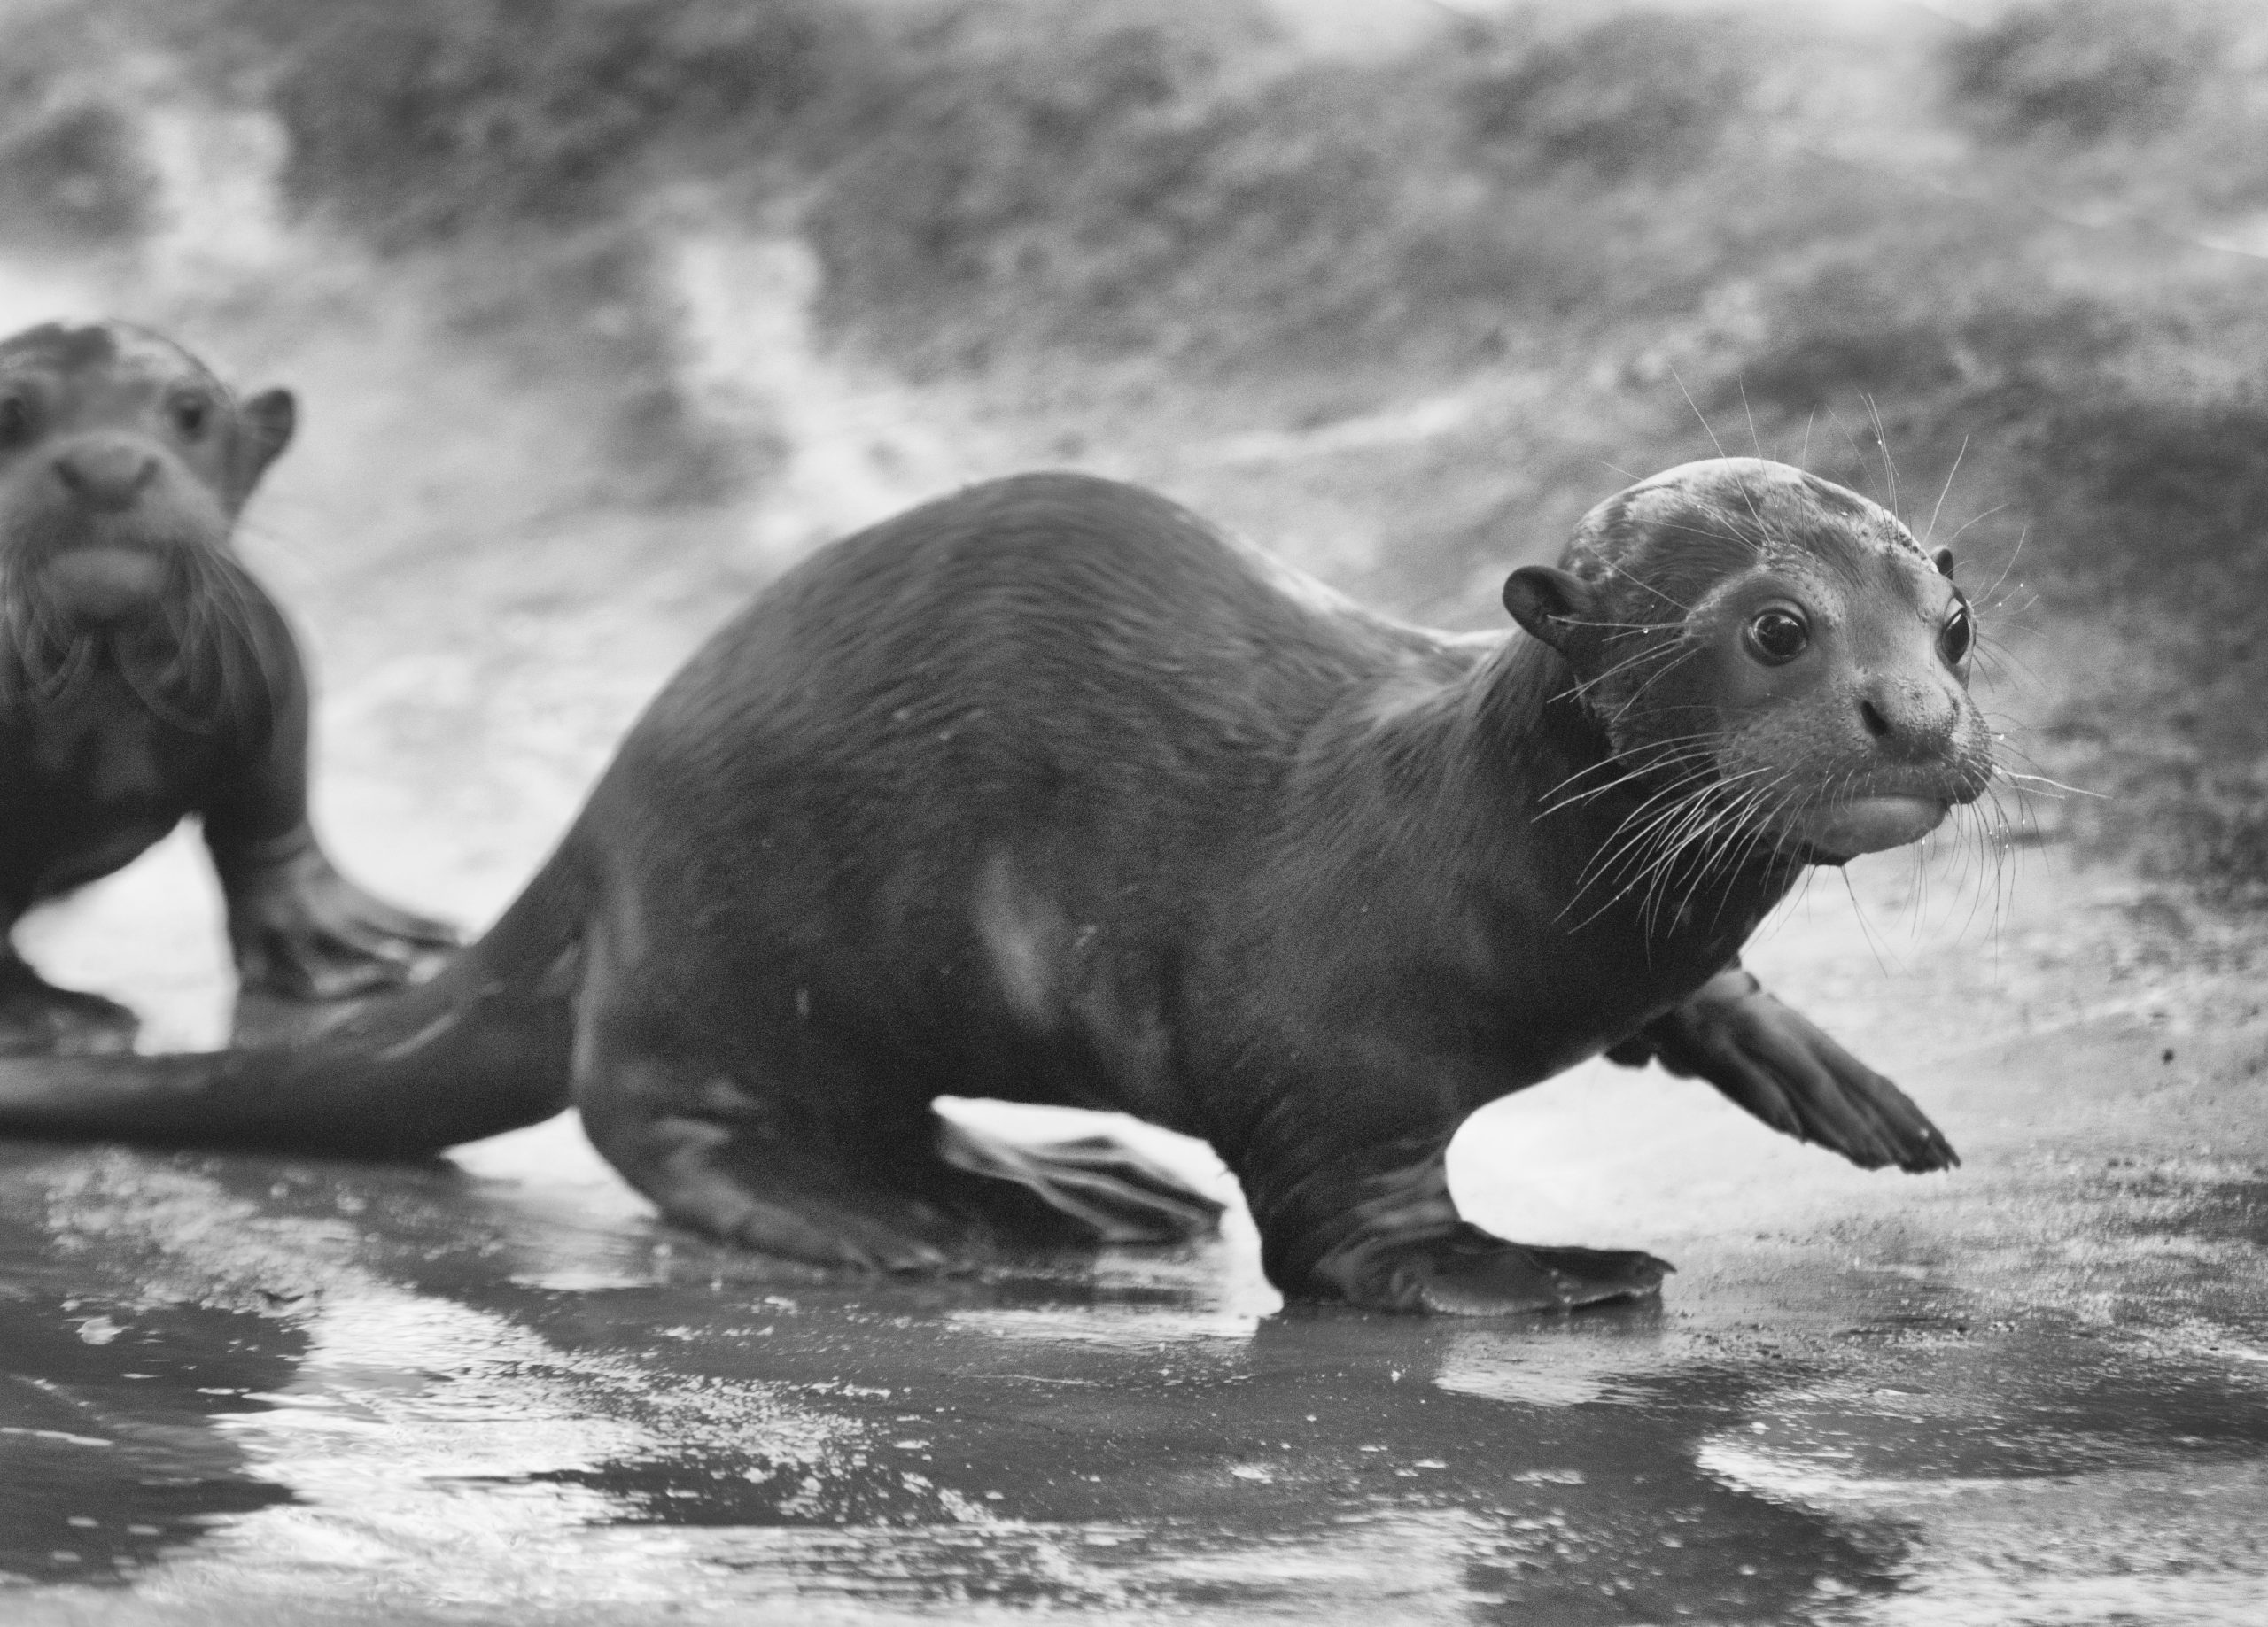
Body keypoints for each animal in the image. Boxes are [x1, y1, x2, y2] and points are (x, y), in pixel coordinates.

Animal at [0, 319, 455, 1056]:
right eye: (10, 413)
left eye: (190, 411)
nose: (106, 466)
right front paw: (42, 1016)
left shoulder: (266, 670)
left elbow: (271, 815)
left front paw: (330, 938)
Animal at [0, 455, 1986, 1313]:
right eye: (1776, 628)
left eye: (1953, 611)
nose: (1916, 714)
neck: (1476, 853)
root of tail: (602, 820)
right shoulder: (1317, 1049)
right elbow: (1348, 1237)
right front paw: (1537, 1268)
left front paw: (1807, 1060)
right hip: (725, 950)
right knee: (652, 1120)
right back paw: (906, 1224)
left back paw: (1060, 1181)